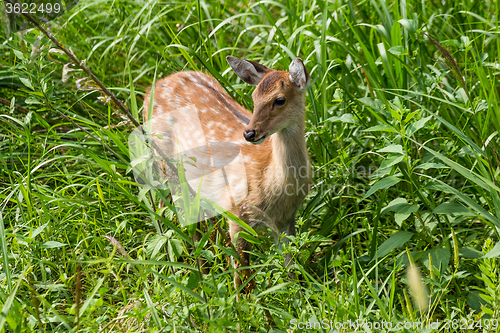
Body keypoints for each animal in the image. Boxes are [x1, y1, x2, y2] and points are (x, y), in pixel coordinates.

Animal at [143, 55, 310, 292]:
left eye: (279, 100)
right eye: (254, 97)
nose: (249, 133)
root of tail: (151, 88)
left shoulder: (286, 219)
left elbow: (291, 268)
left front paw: (297, 295)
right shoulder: (236, 209)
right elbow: (242, 272)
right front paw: (244, 301)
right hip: (165, 165)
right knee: (168, 214)